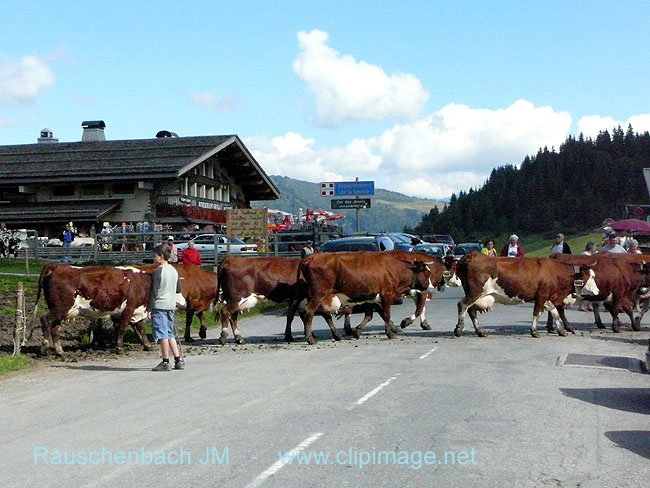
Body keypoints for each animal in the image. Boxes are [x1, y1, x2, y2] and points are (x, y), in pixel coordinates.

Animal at [298, 252, 436, 344]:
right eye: (426, 273)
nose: (431, 286)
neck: (394, 269)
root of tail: (310, 257)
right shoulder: (387, 294)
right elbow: (386, 315)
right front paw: (390, 333)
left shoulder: (371, 297)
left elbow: (369, 316)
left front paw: (358, 331)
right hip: (318, 295)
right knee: (309, 312)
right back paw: (310, 338)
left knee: (325, 314)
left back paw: (337, 335)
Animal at [450, 250, 596, 338]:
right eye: (591, 277)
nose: (597, 291)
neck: (554, 272)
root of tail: (473, 254)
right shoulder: (542, 296)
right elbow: (537, 313)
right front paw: (534, 331)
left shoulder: (548, 297)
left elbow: (555, 314)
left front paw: (561, 330)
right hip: (474, 292)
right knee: (462, 305)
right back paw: (459, 329)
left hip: (477, 295)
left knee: (471, 310)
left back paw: (480, 331)